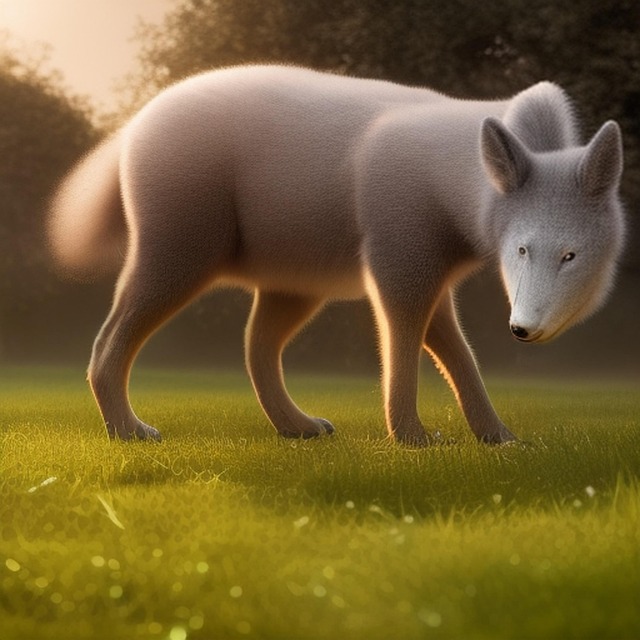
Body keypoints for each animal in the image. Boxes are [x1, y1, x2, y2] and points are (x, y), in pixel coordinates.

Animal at [49, 65, 625, 445]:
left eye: (571, 255)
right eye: (522, 249)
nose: (523, 329)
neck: (459, 187)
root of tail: (135, 121)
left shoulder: (432, 279)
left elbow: (460, 359)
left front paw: (498, 438)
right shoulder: (400, 268)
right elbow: (403, 352)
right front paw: (413, 438)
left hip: (294, 284)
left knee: (256, 348)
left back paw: (297, 427)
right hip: (179, 255)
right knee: (108, 345)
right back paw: (129, 431)